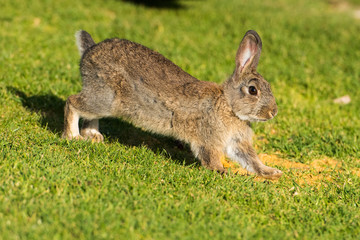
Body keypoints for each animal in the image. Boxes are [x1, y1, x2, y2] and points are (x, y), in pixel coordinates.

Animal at [61, 29, 282, 179]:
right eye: (253, 90)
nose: (273, 112)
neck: (229, 106)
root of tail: (88, 52)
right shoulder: (209, 138)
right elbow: (210, 157)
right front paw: (221, 171)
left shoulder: (237, 143)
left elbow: (252, 161)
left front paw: (273, 172)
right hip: (106, 98)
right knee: (72, 102)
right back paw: (73, 136)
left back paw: (93, 136)